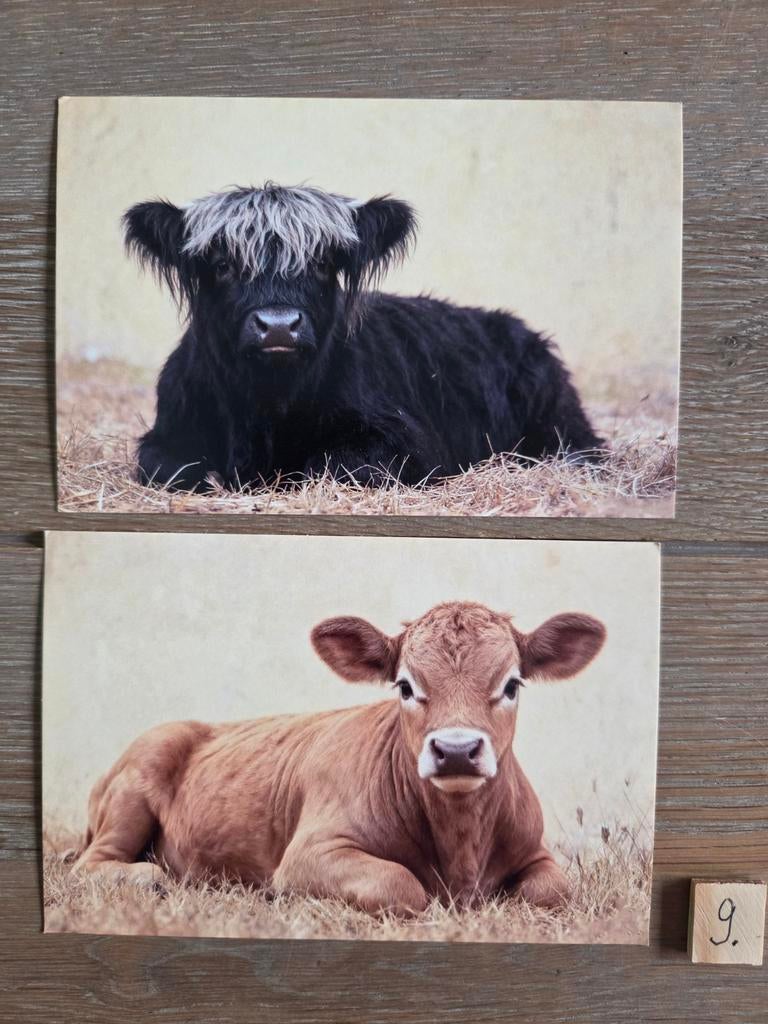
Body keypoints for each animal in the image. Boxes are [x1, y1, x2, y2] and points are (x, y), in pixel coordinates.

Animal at [73, 602, 606, 914]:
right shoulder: (309, 853)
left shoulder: (536, 850)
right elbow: (402, 886)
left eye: (512, 684)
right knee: (89, 864)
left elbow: (555, 890)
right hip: (136, 782)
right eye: (405, 685)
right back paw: (149, 878)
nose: (456, 749)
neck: (461, 850)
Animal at [124, 184, 604, 492]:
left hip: (558, 417)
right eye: (223, 264)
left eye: (321, 263)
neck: (268, 406)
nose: (278, 325)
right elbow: (170, 466)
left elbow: (332, 464)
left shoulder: (403, 442)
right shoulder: (167, 432)